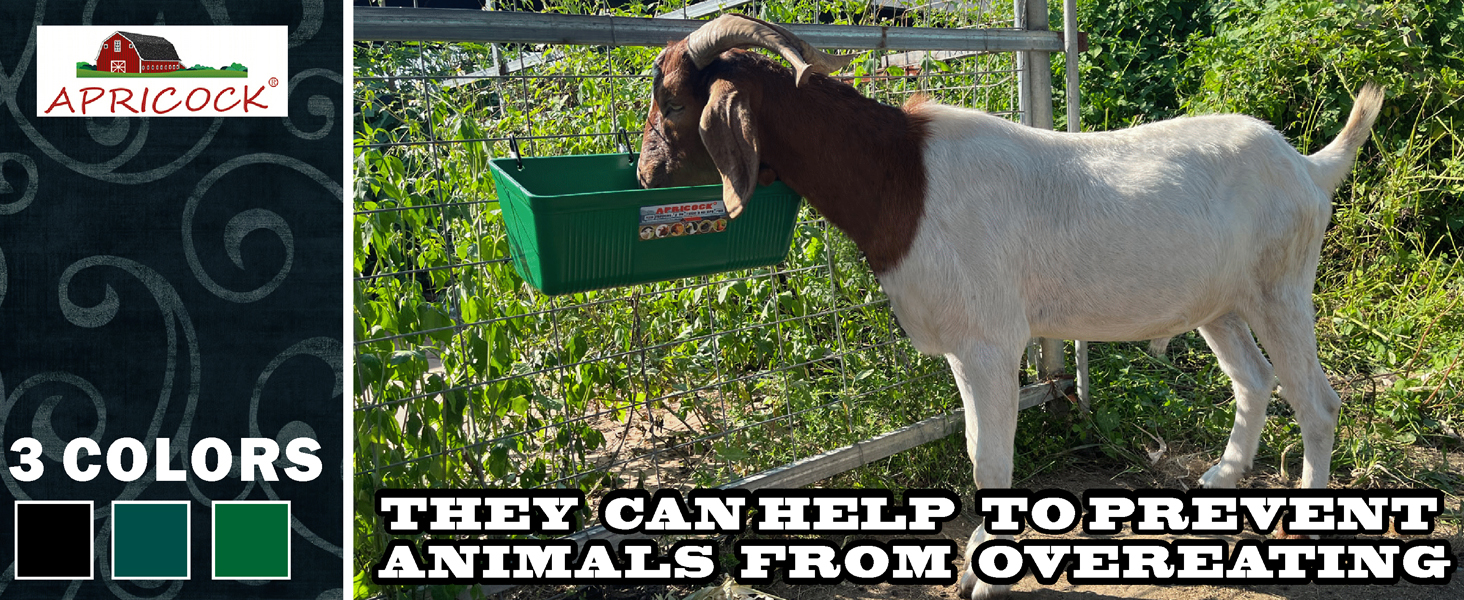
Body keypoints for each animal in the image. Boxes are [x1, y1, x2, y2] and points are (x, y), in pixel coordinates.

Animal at [641, 12, 1382, 594]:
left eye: (672, 103)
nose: (647, 173)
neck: (902, 180)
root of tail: (1309, 167)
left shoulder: (988, 341)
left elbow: (989, 460)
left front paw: (983, 576)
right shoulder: (964, 346)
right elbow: (978, 448)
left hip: (1281, 287)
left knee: (1317, 401)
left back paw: (1303, 533)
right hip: (1221, 304)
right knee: (1253, 378)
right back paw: (1223, 477)